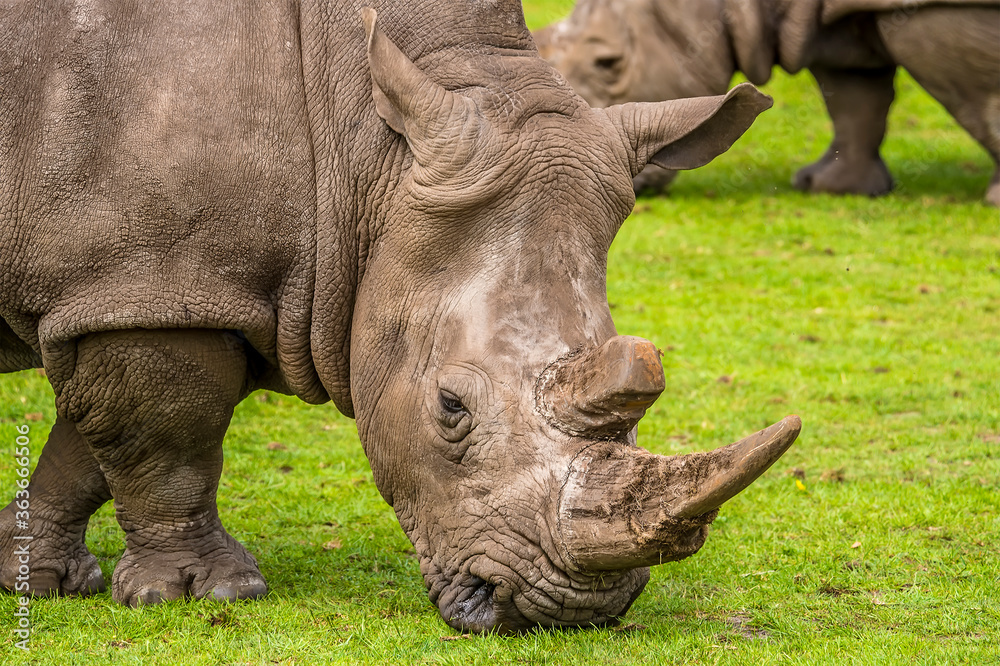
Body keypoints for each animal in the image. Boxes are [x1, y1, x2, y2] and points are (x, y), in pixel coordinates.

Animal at [0, 0, 799, 634]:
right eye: (450, 406)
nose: (570, 612)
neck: (366, 148)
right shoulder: (150, 283)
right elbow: (167, 436)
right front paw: (205, 595)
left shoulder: (157, 289)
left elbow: (94, 439)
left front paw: (35, 580)